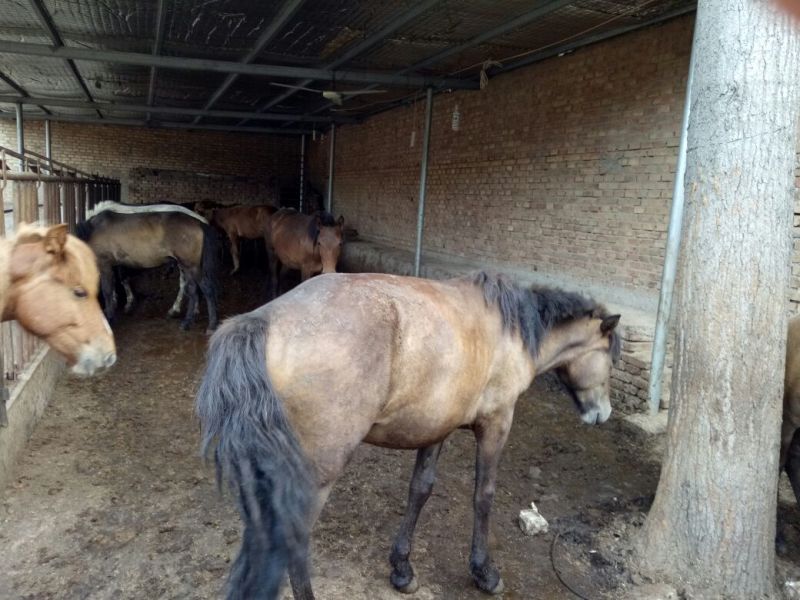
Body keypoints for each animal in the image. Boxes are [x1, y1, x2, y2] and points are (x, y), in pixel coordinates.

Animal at [76, 202, 220, 332]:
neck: (93, 230)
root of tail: (199, 222)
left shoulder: (105, 265)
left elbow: (107, 291)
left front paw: (110, 317)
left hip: (191, 266)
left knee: (206, 289)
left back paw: (211, 325)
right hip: (187, 266)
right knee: (193, 291)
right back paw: (186, 322)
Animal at [196, 271, 621, 599]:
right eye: (609, 357)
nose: (603, 413)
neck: (511, 330)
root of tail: (262, 321)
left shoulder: (436, 428)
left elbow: (420, 490)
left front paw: (402, 568)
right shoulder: (496, 425)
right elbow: (484, 495)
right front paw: (484, 571)